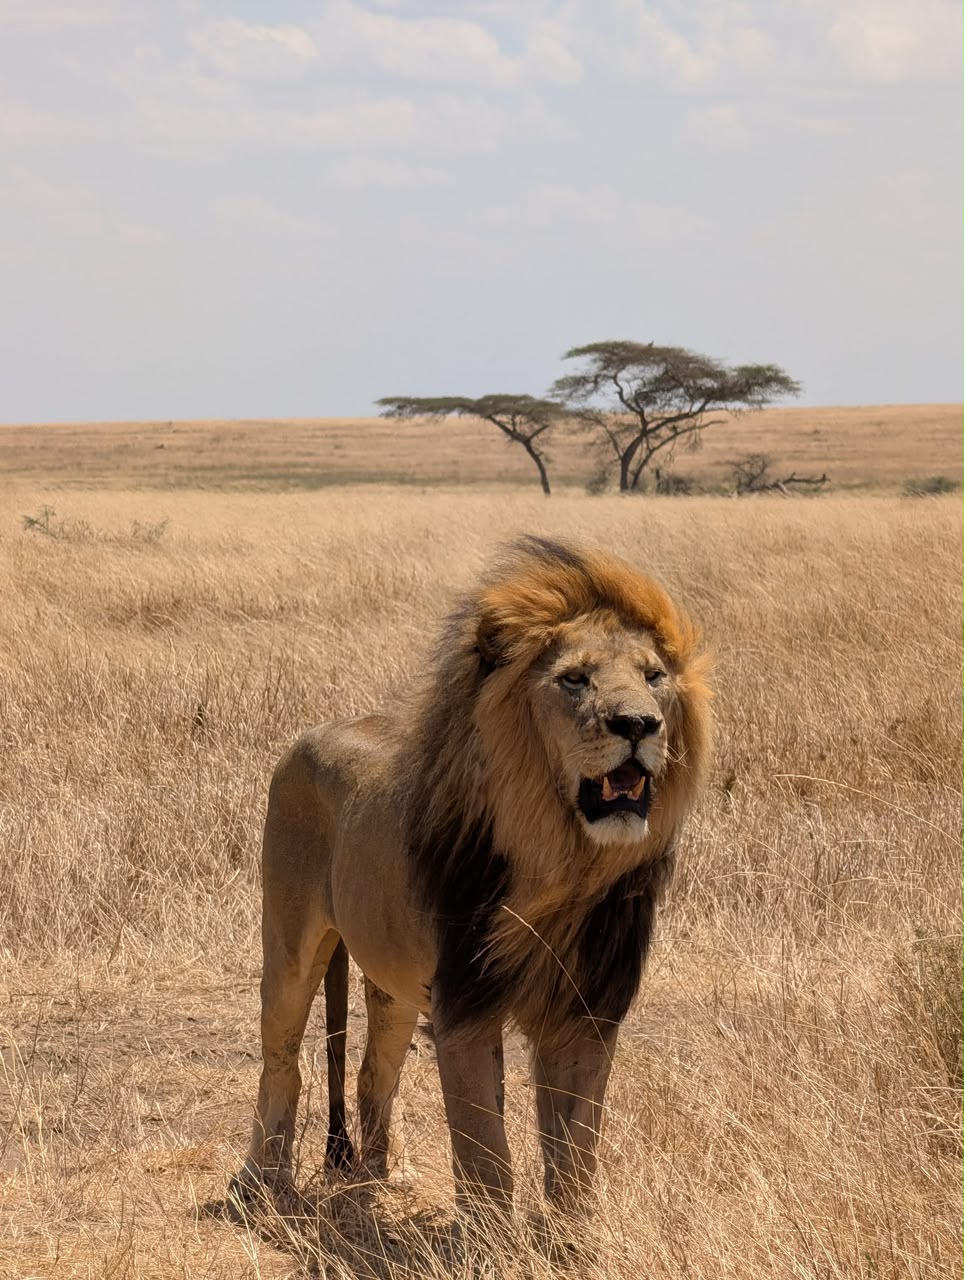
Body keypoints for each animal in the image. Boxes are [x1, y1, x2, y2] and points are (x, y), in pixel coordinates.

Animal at [234, 535, 712, 1219]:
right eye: (575, 680)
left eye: (654, 677)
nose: (639, 725)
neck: (564, 866)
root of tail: (315, 731)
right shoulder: (464, 1005)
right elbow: (486, 1152)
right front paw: (492, 1238)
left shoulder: (587, 1010)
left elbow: (575, 1157)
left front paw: (572, 1239)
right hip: (290, 948)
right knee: (282, 1060)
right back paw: (258, 1181)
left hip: (394, 980)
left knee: (374, 1068)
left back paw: (385, 1174)